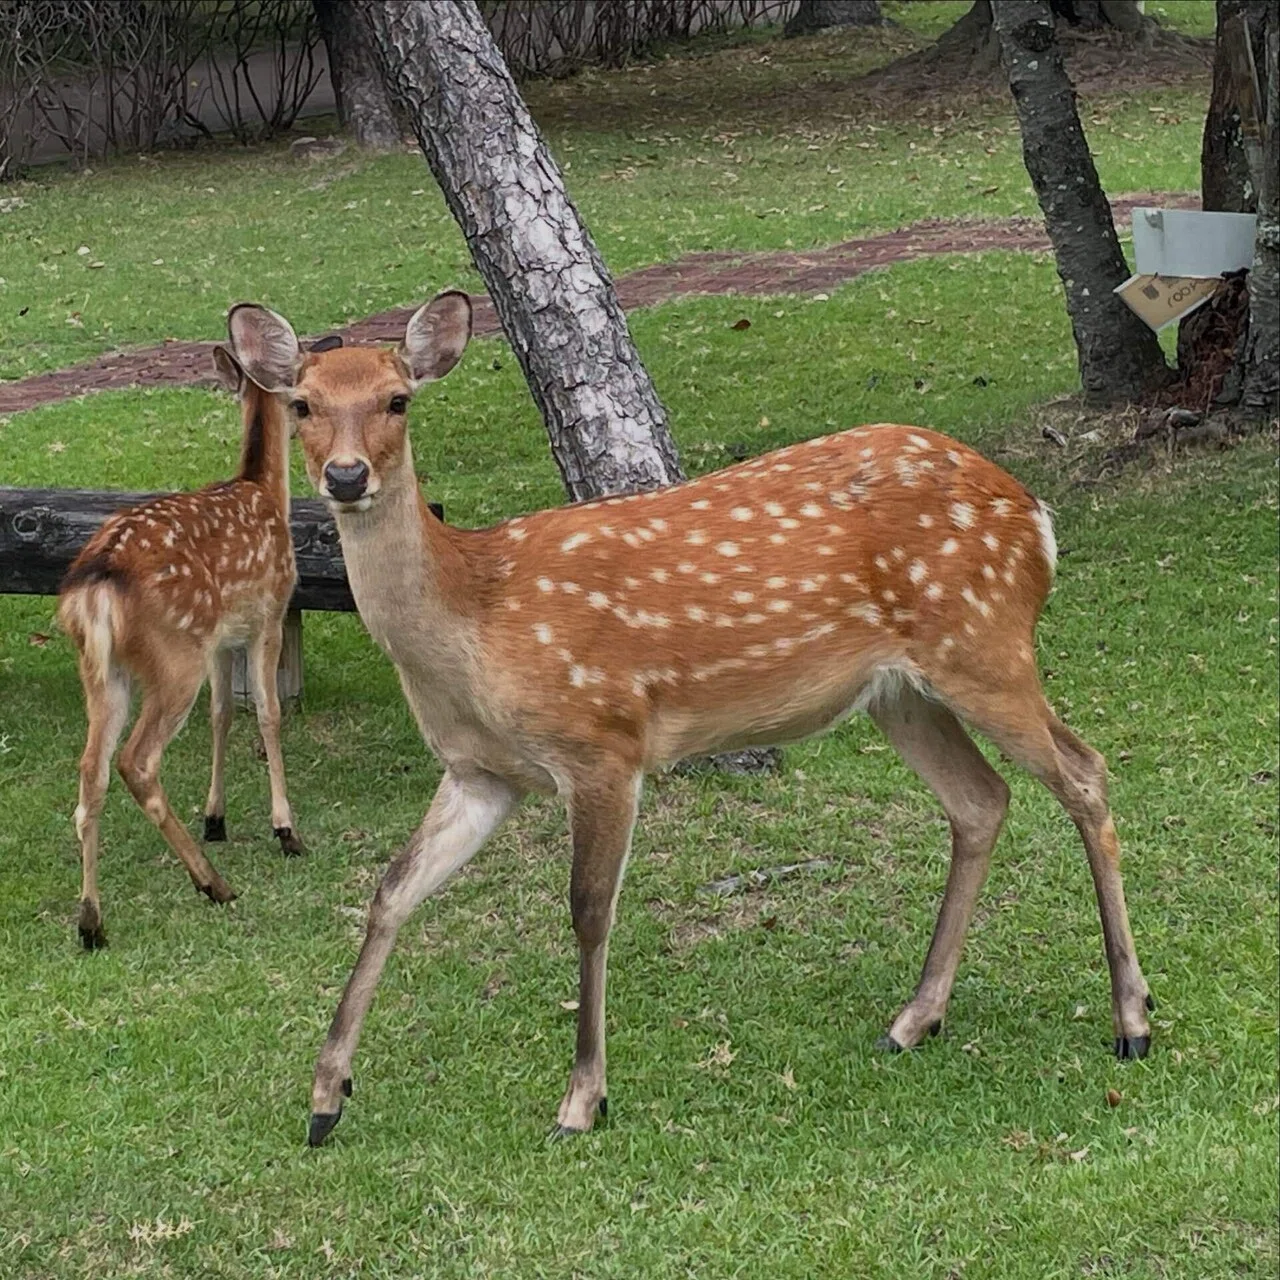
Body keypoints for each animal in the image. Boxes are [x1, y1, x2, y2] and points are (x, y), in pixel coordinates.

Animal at [56, 336, 319, 950]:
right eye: (300, 402)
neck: (264, 490)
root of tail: (96, 589)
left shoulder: (221, 639)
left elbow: (223, 713)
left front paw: (216, 818)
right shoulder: (269, 614)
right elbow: (267, 713)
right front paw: (285, 829)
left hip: (104, 670)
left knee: (90, 770)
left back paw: (91, 921)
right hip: (174, 658)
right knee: (136, 761)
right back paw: (212, 883)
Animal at [223, 292, 1154, 1147]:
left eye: (397, 400)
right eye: (302, 403)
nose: (347, 477)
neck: (474, 620)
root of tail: (1035, 516)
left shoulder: (603, 739)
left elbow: (588, 909)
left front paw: (582, 1100)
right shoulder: (481, 772)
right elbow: (392, 889)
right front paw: (326, 1095)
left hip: (983, 643)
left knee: (1085, 772)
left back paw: (1132, 1019)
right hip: (901, 692)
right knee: (981, 800)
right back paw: (913, 1019)